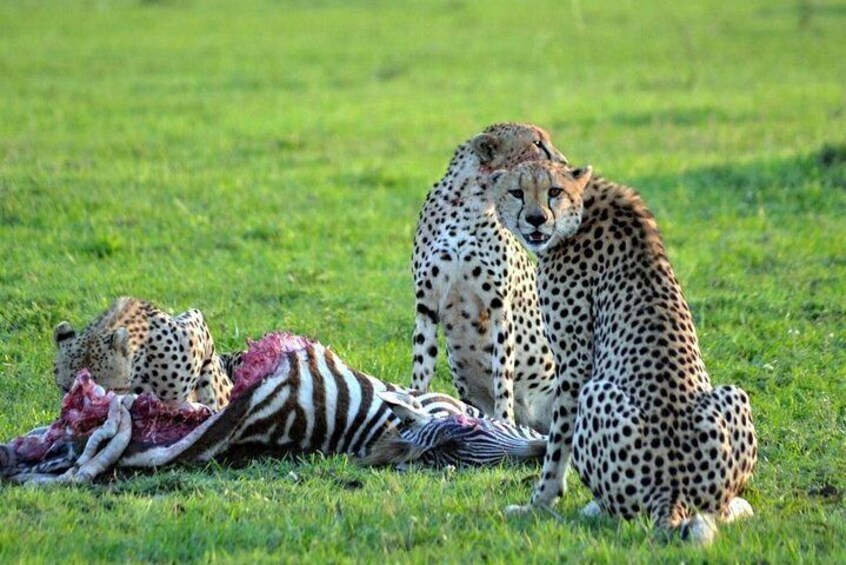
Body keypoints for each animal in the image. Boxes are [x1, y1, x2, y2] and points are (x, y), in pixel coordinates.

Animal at [412, 124, 568, 432]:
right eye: (536, 143)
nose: (565, 164)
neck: (469, 203)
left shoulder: (499, 309)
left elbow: (502, 378)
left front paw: (503, 423)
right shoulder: (426, 306)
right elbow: (420, 368)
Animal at [494, 161, 760, 544]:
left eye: (553, 192)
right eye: (517, 192)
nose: (535, 219)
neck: (582, 205)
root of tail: (673, 490)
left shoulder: (574, 366)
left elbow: (557, 445)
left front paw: (538, 503)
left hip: (596, 391)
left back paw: (593, 509)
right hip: (732, 395)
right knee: (715, 509)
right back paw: (738, 505)